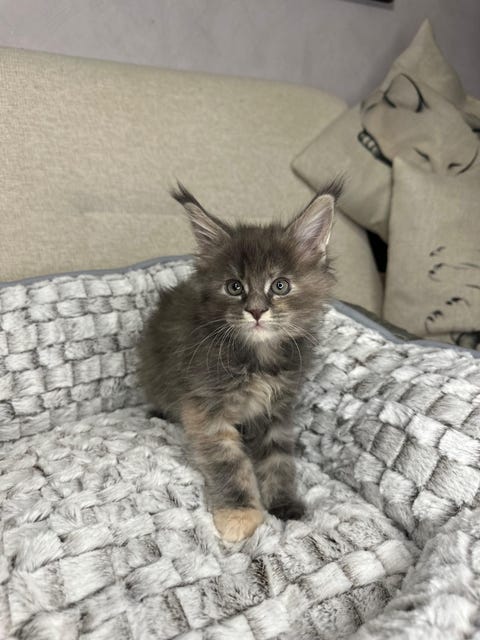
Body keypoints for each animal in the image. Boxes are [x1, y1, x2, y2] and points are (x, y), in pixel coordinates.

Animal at [137, 183, 340, 541]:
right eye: (234, 287)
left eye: (280, 285)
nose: (256, 311)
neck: (257, 359)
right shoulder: (205, 410)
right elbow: (228, 463)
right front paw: (239, 514)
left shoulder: (277, 409)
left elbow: (279, 458)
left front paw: (284, 503)